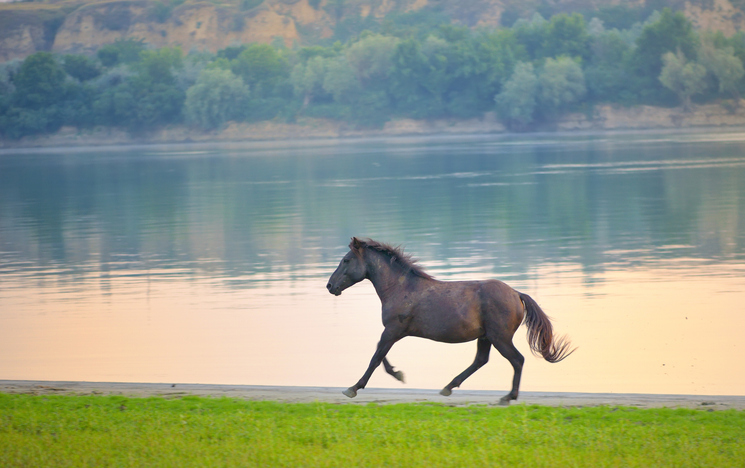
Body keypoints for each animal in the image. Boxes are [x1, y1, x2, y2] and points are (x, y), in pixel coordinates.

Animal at [326, 237, 575, 405]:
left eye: (346, 260)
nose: (330, 286)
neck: (400, 288)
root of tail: (516, 294)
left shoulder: (393, 330)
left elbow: (376, 357)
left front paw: (353, 388)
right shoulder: (393, 332)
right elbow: (381, 355)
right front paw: (398, 374)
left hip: (500, 337)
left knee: (517, 359)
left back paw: (507, 397)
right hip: (486, 337)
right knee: (481, 360)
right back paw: (448, 387)